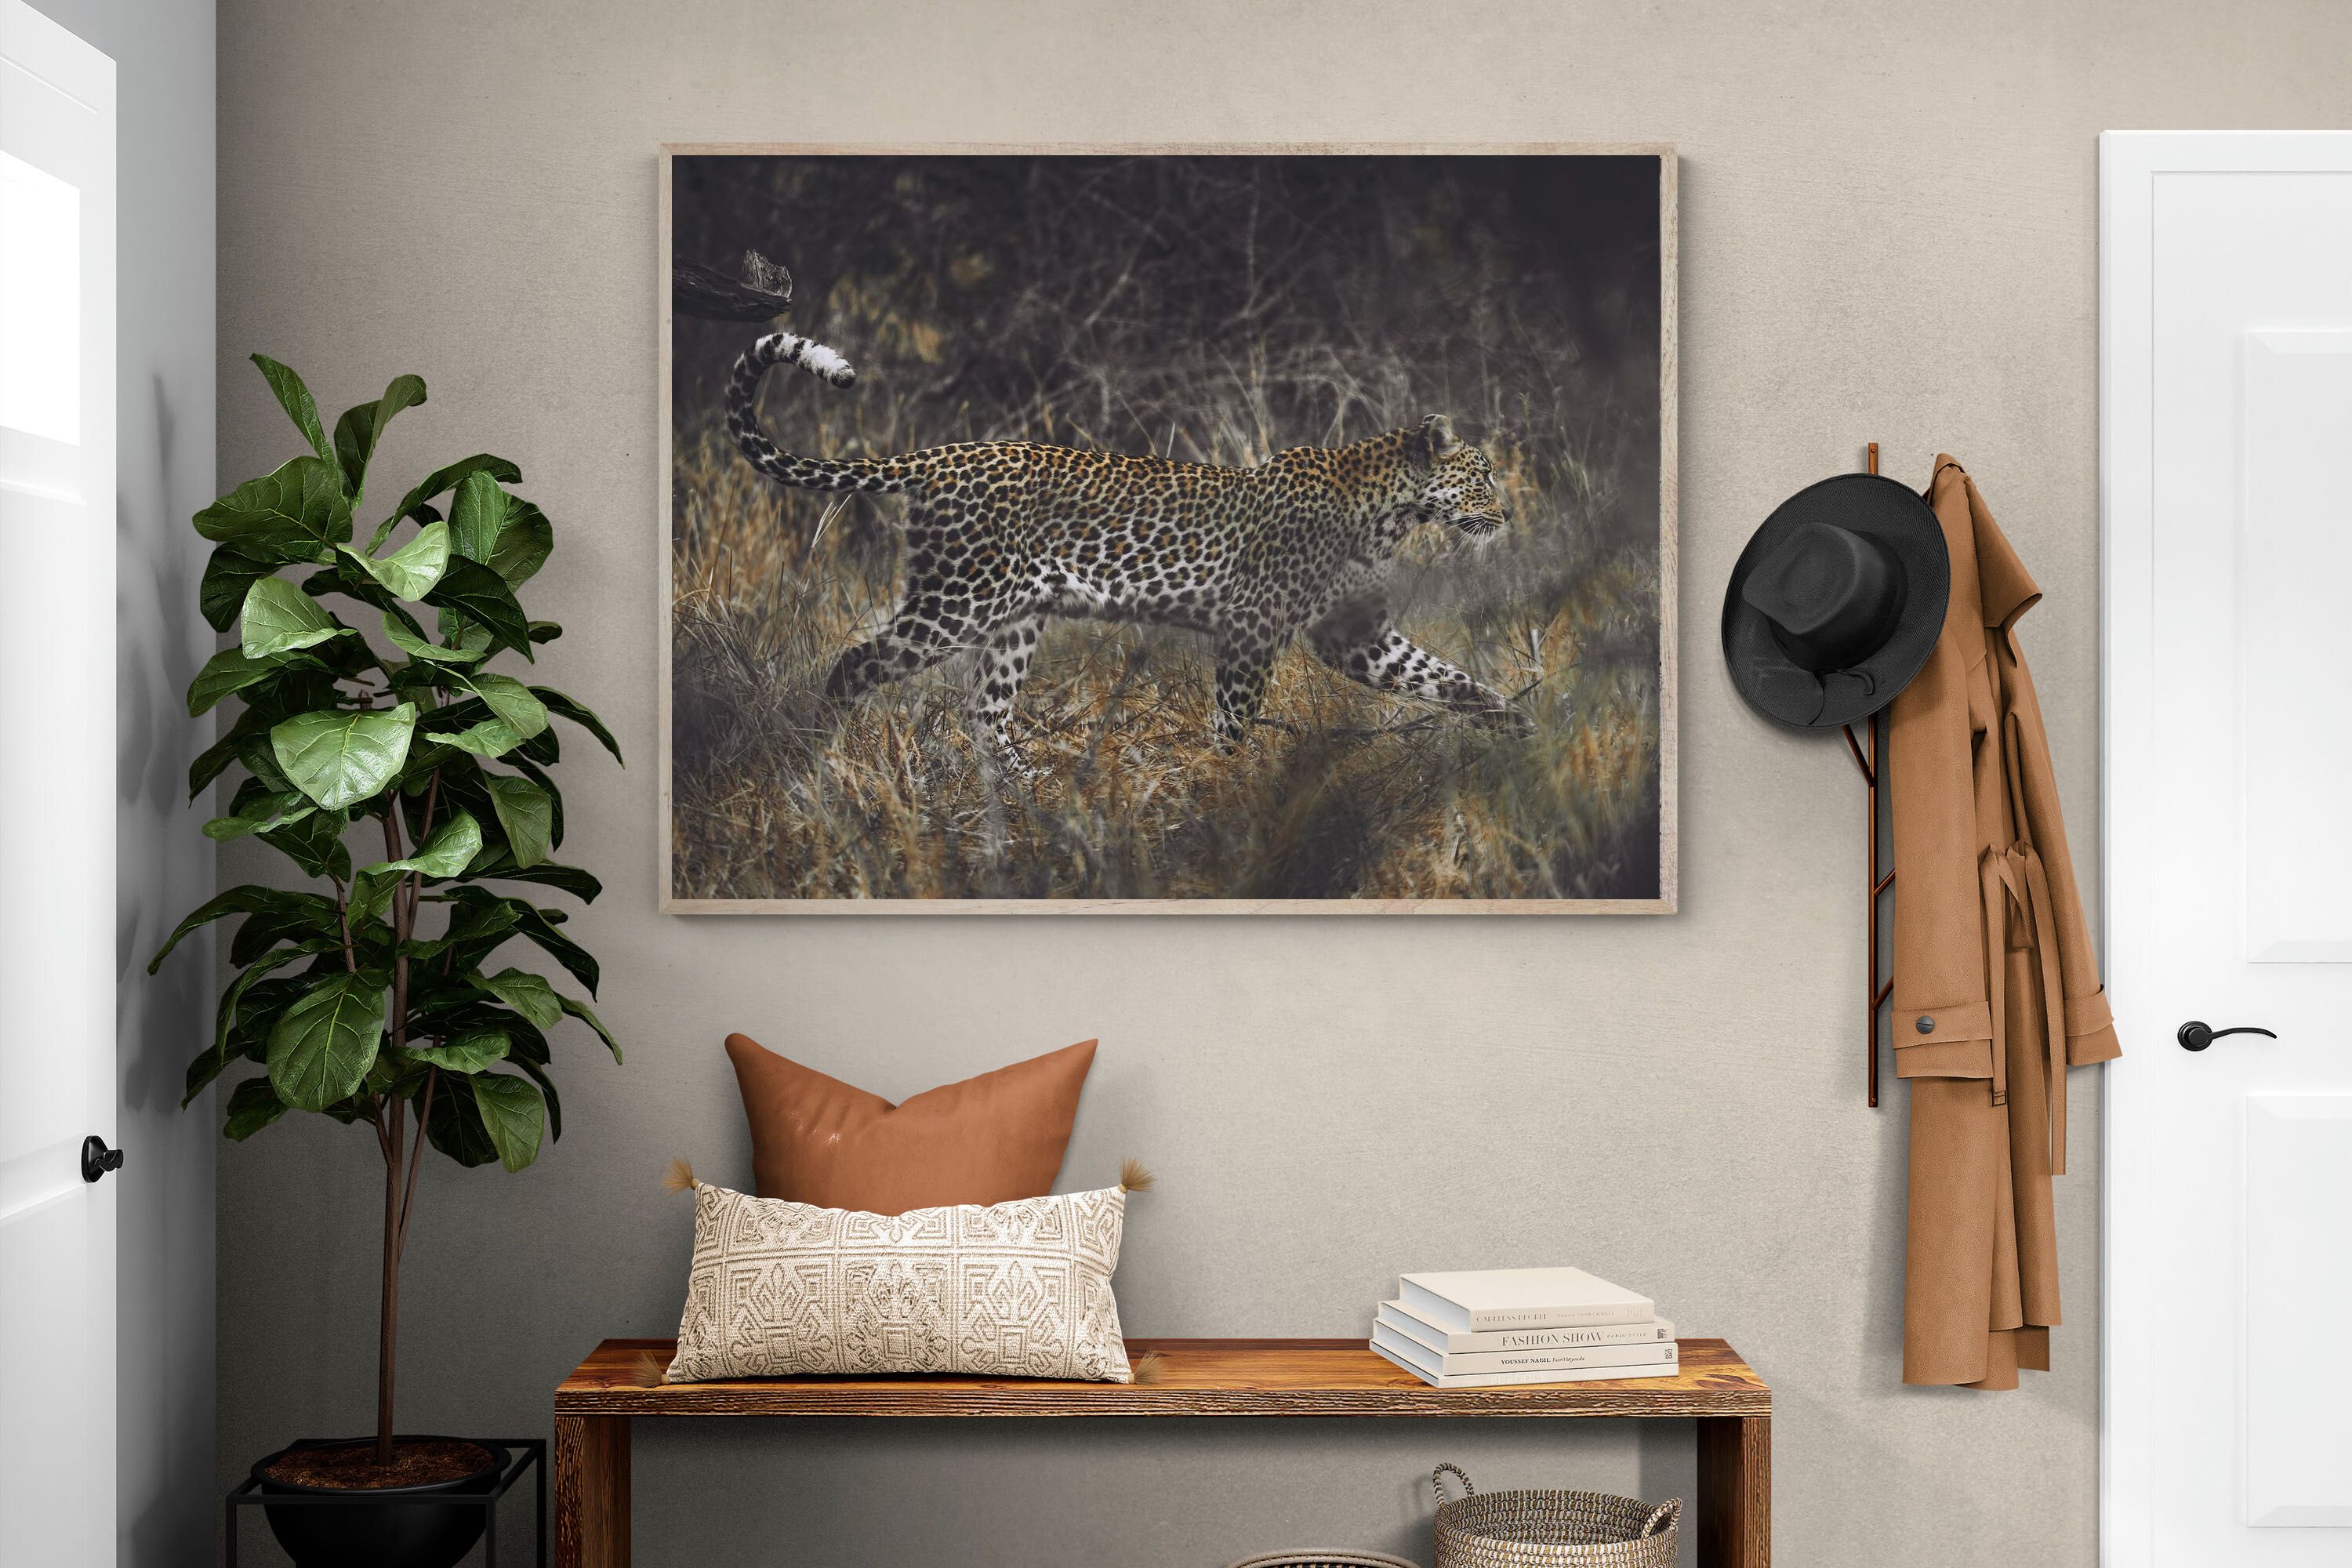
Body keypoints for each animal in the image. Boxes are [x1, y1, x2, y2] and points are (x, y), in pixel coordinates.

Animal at [725, 329, 1532, 755]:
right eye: (1482, 475)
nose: (1508, 515)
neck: (1388, 512)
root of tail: (943, 453)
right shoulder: (1253, 628)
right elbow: (1234, 717)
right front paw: (1230, 786)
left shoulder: (1353, 636)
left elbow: (1441, 676)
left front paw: (1518, 722)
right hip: (959, 600)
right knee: (855, 664)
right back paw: (818, 756)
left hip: (1015, 618)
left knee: (986, 715)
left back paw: (1026, 792)